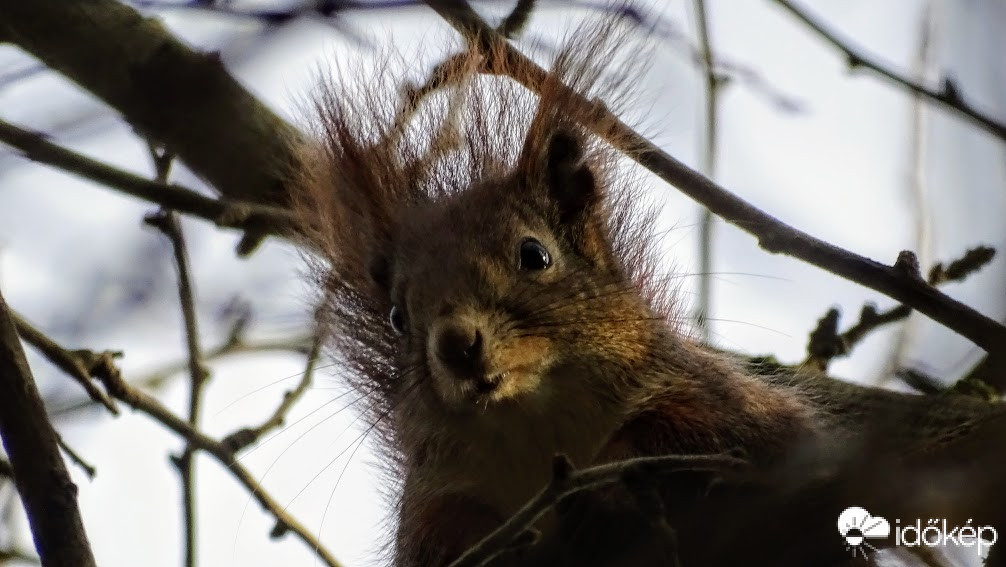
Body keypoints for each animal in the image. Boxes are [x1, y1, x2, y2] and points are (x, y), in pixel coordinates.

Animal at [289, 14, 1006, 567]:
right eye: (395, 316)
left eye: (534, 254)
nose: (458, 344)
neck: (536, 422)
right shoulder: (438, 493)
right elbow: (440, 533)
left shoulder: (730, 409)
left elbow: (694, 432)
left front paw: (608, 478)